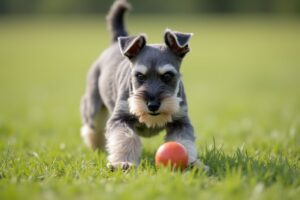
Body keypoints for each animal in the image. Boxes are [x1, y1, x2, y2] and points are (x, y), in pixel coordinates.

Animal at [79, 0, 206, 170]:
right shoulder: (120, 118)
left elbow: (183, 141)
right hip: (95, 107)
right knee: (92, 126)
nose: (152, 105)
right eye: (139, 76)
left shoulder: (181, 121)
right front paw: (122, 163)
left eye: (167, 76)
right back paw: (96, 145)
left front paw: (192, 164)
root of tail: (114, 44)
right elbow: (124, 138)